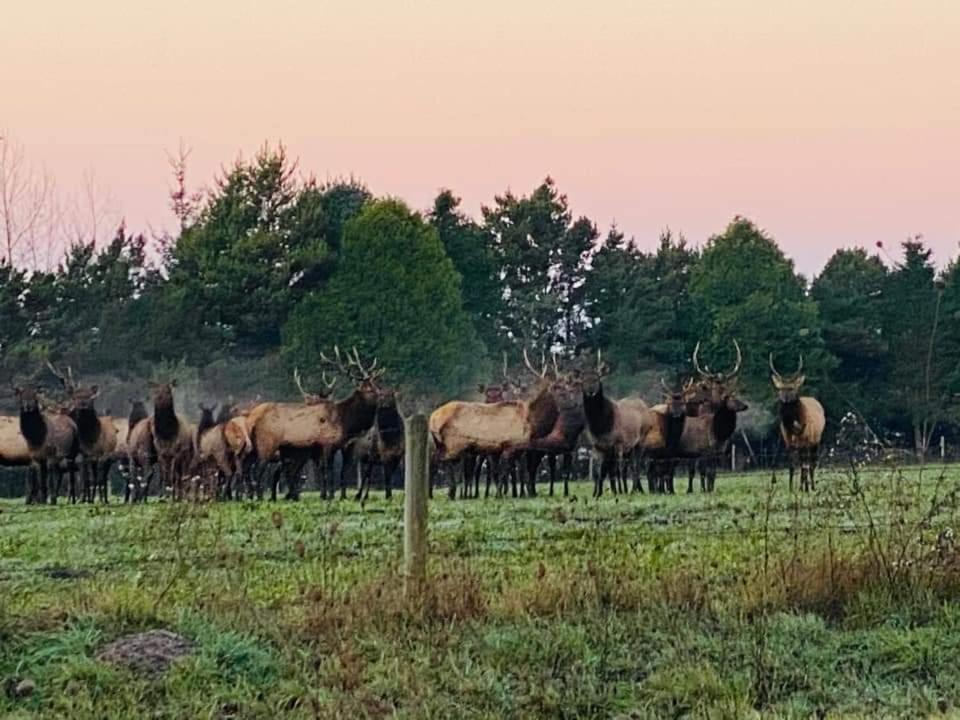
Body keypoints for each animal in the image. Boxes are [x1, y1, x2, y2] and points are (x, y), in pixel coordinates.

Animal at [768, 356, 828, 492]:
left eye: (792, 388)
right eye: (780, 389)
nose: (785, 399)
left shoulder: (805, 441)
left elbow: (804, 465)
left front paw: (803, 488)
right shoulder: (788, 443)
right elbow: (791, 466)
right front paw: (791, 488)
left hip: (816, 441)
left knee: (811, 463)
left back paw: (811, 486)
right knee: (805, 463)